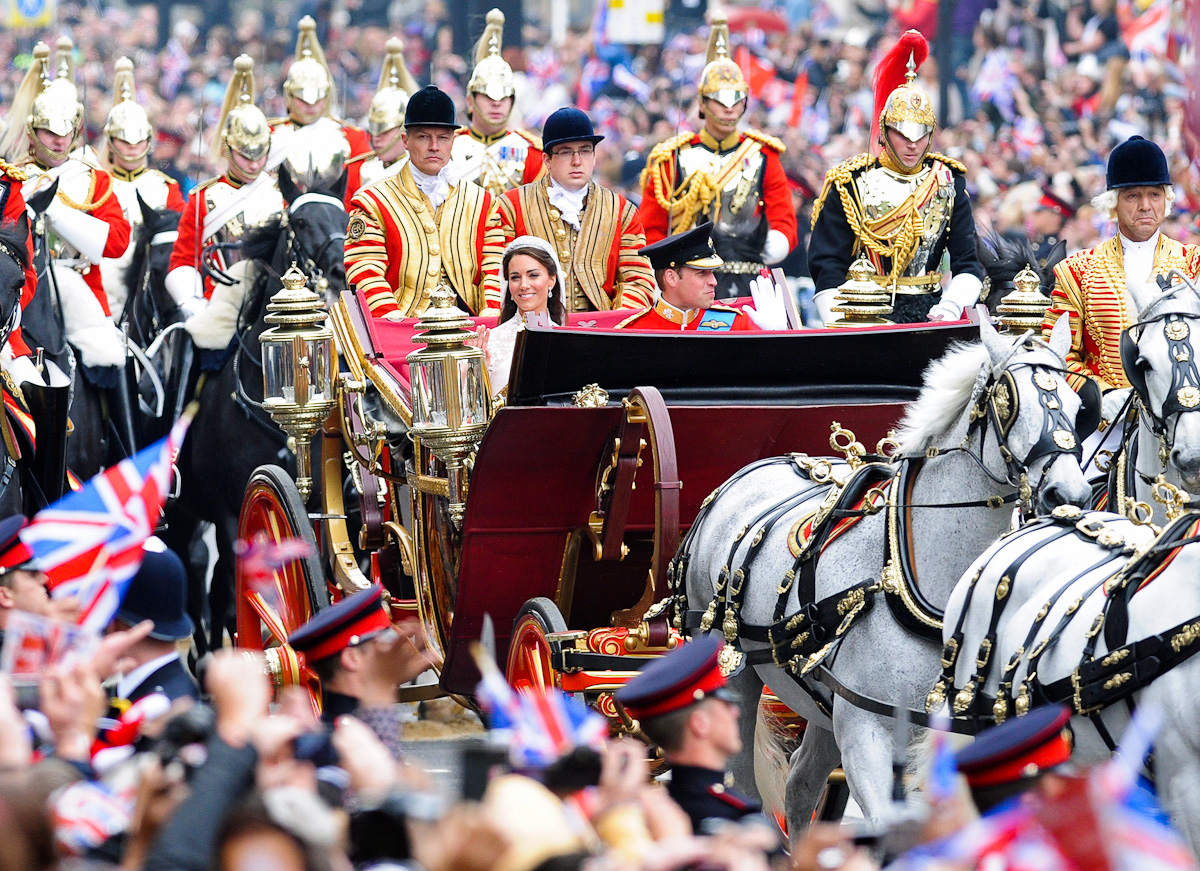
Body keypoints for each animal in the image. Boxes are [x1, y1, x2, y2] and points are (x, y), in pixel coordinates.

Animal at [163, 172, 348, 652]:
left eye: (345, 216)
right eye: (299, 222)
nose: (340, 272)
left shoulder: (317, 509)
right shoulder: (231, 515)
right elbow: (236, 602)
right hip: (182, 515)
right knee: (194, 580)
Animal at [676, 316, 1099, 839]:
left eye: (1080, 408)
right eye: (1007, 402)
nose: (1070, 494)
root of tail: (752, 471)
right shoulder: (866, 728)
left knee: (800, 783)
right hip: (736, 673)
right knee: (744, 788)